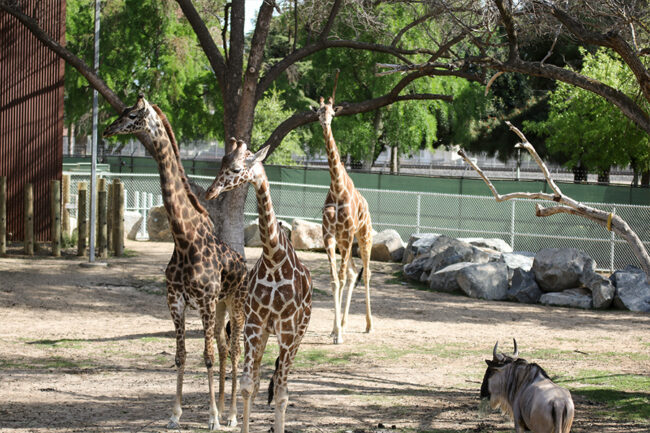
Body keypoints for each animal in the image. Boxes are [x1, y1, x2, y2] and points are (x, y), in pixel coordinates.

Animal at [102, 94, 247, 428]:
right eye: (122, 111)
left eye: (132, 115)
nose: (107, 129)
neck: (183, 239)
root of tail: (245, 265)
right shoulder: (175, 301)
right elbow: (181, 355)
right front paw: (175, 415)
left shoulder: (204, 302)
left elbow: (206, 357)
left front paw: (212, 419)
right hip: (221, 306)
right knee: (224, 348)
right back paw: (225, 409)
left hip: (235, 303)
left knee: (235, 350)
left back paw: (232, 416)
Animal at [205, 138, 312, 432]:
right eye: (220, 162)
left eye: (237, 168)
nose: (210, 191)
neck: (274, 258)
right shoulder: (255, 325)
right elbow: (248, 385)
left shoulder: (287, 330)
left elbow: (282, 394)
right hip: (264, 334)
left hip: (298, 335)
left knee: (283, 385)